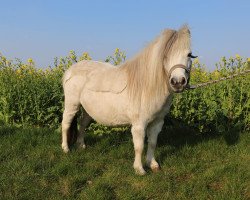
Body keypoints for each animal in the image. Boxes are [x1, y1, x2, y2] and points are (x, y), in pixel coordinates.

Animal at [61, 25, 194, 175]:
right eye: (165, 55)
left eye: (189, 55)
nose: (178, 82)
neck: (147, 86)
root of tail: (70, 71)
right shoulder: (139, 124)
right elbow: (139, 146)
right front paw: (139, 169)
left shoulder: (157, 122)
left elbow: (152, 143)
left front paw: (152, 164)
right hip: (72, 105)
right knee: (66, 123)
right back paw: (66, 149)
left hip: (88, 110)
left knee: (82, 124)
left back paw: (81, 145)